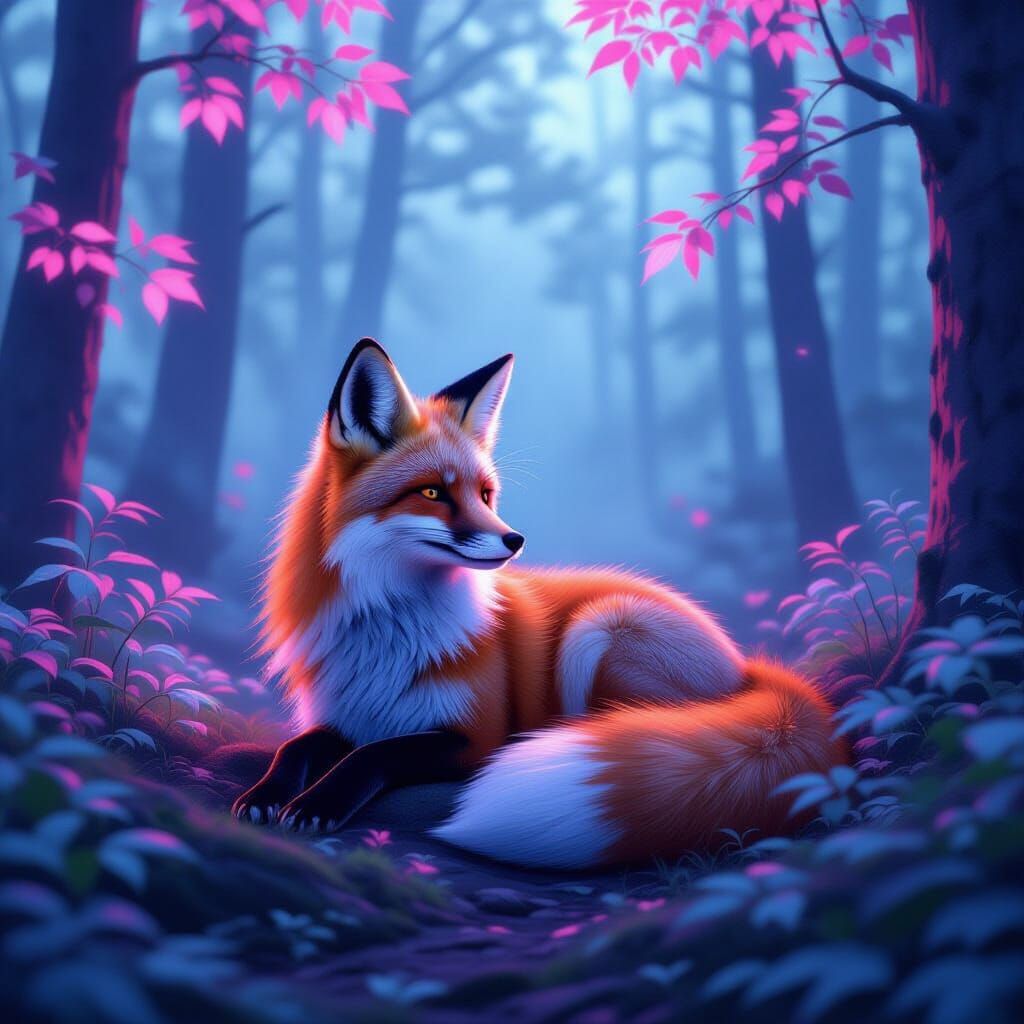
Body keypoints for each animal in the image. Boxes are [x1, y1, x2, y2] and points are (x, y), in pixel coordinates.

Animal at [232, 337, 848, 868]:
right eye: (433, 492)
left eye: (485, 495)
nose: (515, 540)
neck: (390, 632)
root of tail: (746, 666)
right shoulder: (347, 715)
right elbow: (297, 747)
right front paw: (266, 794)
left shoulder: (475, 735)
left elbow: (376, 755)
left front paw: (317, 802)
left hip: (596, 630)